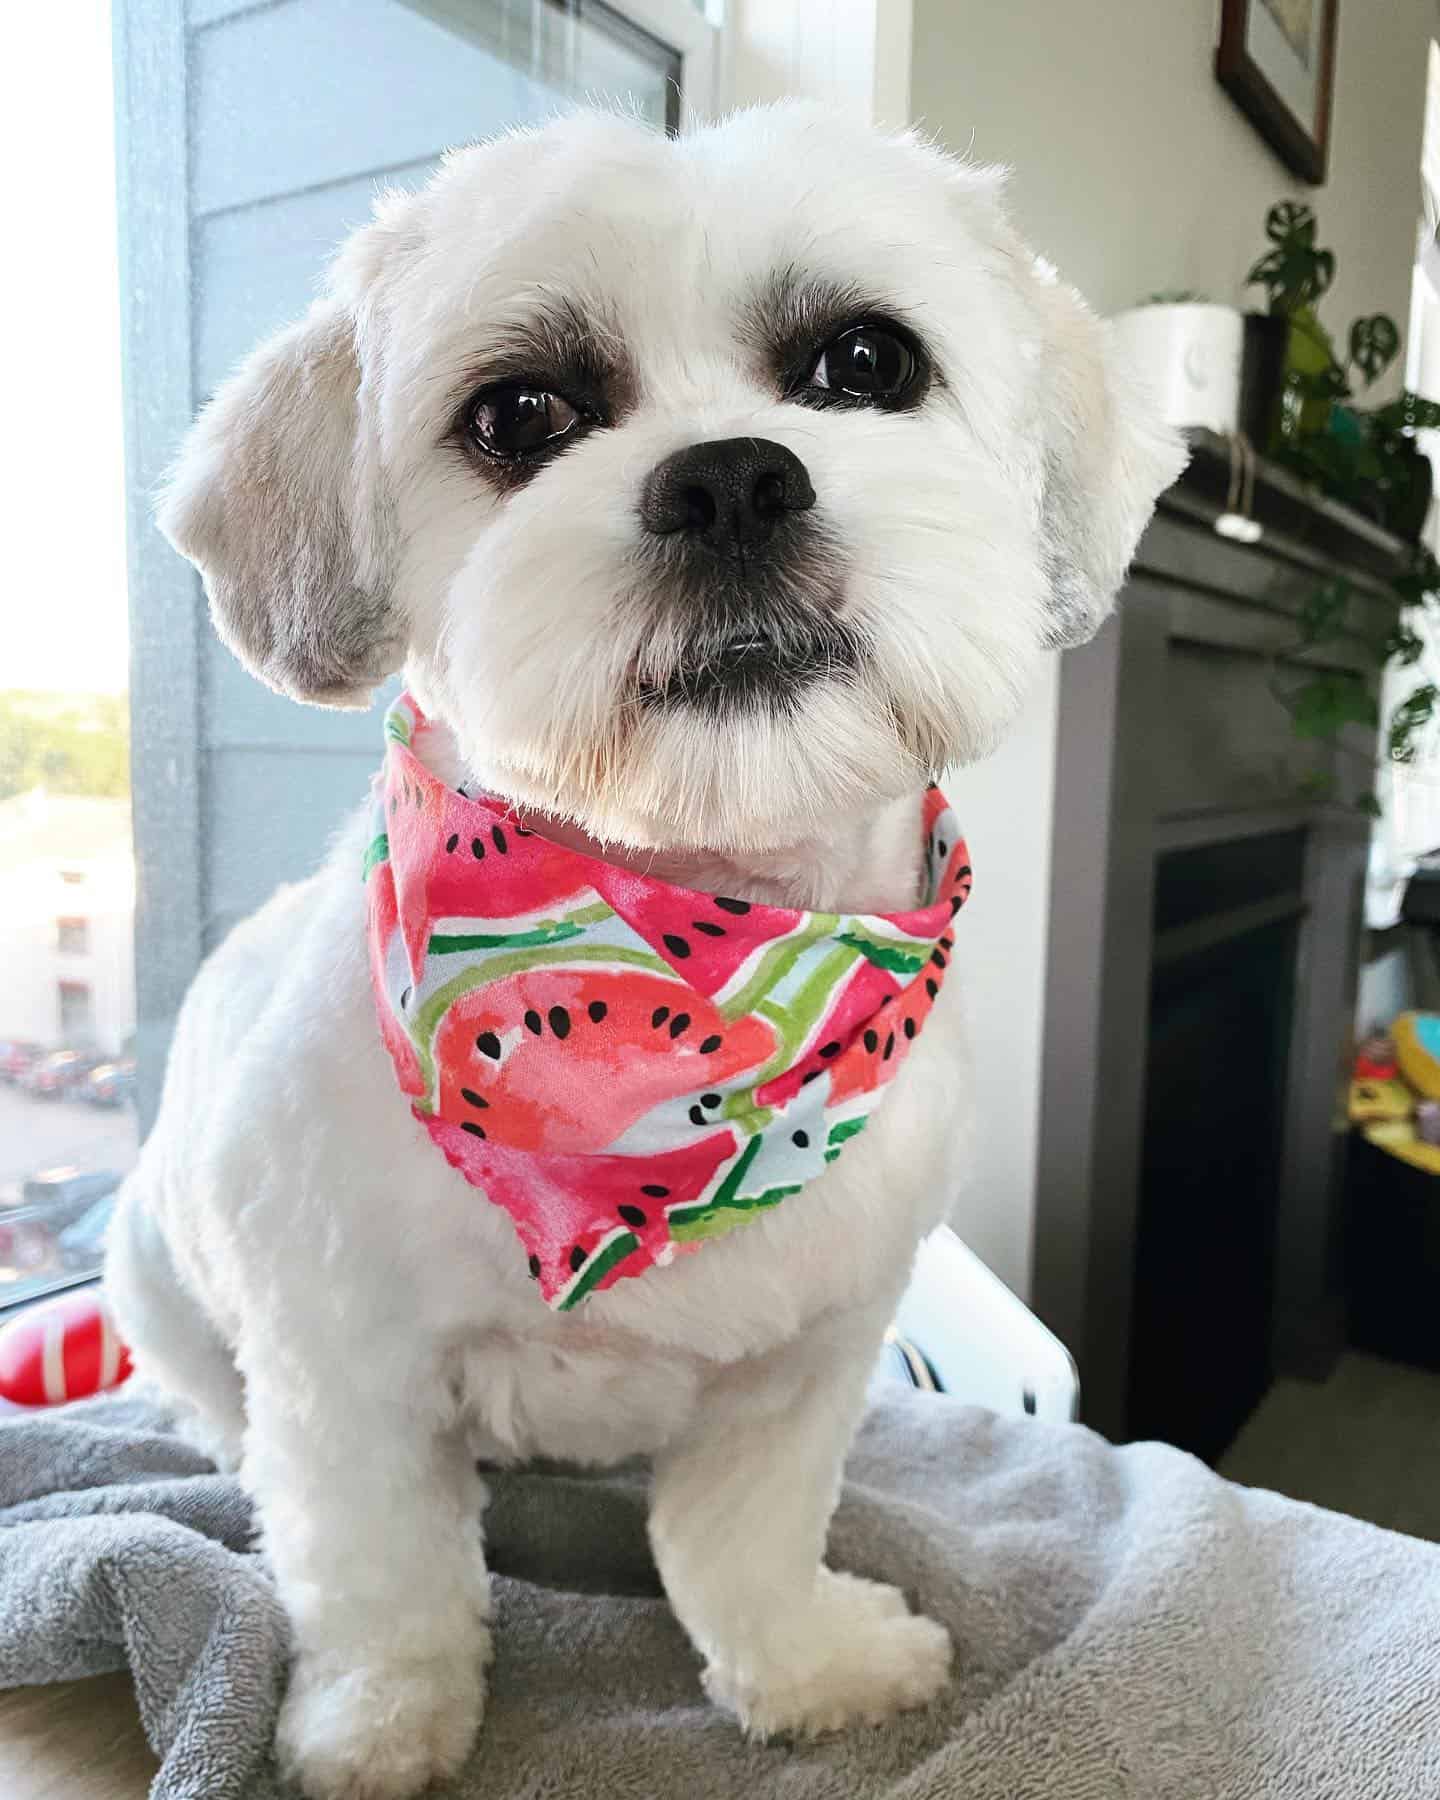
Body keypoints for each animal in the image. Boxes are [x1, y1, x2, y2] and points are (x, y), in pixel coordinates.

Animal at [103, 102, 1180, 1800]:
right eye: (522, 411)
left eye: (865, 361)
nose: (733, 477)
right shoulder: (346, 1369)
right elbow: (381, 1569)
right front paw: (378, 1720)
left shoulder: (809, 1359)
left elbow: (743, 1538)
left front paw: (808, 1667)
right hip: (154, 1267)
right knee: (218, 1399)